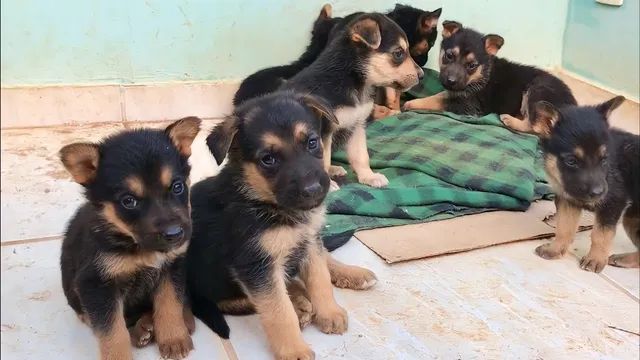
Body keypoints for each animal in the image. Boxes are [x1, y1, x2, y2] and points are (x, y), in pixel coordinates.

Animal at [60, 117, 224, 358]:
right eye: (129, 201)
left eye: (177, 186)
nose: (175, 235)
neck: (139, 247)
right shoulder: (96, 285)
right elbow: (113, 331)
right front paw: (119, 357)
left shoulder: (171, 267)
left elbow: (169, 303)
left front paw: (174, 338)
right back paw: (141, 330)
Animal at [185, 92, 376, 360]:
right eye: (268, 159)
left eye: (312, 142)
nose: (313, 191)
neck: (268, 203)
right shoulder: (256, 264)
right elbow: (278, 309)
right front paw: (294, 349)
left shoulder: (309, 240)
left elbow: (320, 279)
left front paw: (328, 312)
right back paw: (298, 303)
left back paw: (350, 275)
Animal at [404, 19, 580, 133]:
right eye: (449, 56)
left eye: (472, 66)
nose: (450, 81)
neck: (483, 74)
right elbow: (441, 94)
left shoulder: (468, 105)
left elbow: (437, 100)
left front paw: (411, 104)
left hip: (537, 91)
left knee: (537, 127)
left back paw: (510, 120)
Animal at [528, 97, 640, 272]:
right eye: (571, 161)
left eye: (604, 159)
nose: (598, 193)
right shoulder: (568, 201)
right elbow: (564, 228)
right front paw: (555, 249)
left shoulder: (613, 203)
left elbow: (601, 234)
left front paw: (595, 259)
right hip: (631, 218)